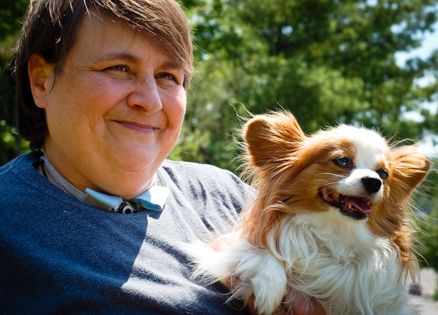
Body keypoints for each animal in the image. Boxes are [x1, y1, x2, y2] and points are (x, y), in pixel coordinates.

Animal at [192, 112, 432, 315]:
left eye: (383, 174)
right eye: (342, 161)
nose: (374, 182)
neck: (337, 232)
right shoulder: (220, 246)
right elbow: (255, 252)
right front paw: (269, 288)